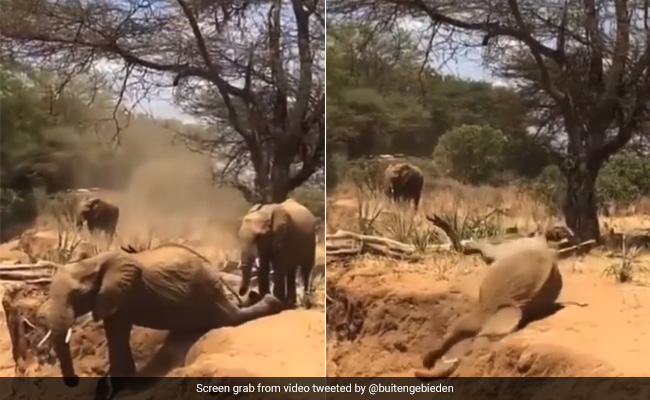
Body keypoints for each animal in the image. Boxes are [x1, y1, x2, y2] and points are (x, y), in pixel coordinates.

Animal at [44, 242, 287, 386]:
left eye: (76, 294)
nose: (76, 380)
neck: (92, 262)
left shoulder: (121, 293)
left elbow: (118, 333)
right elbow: (115, 333)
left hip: (204, 289)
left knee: (229, 318)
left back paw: (272, 301)